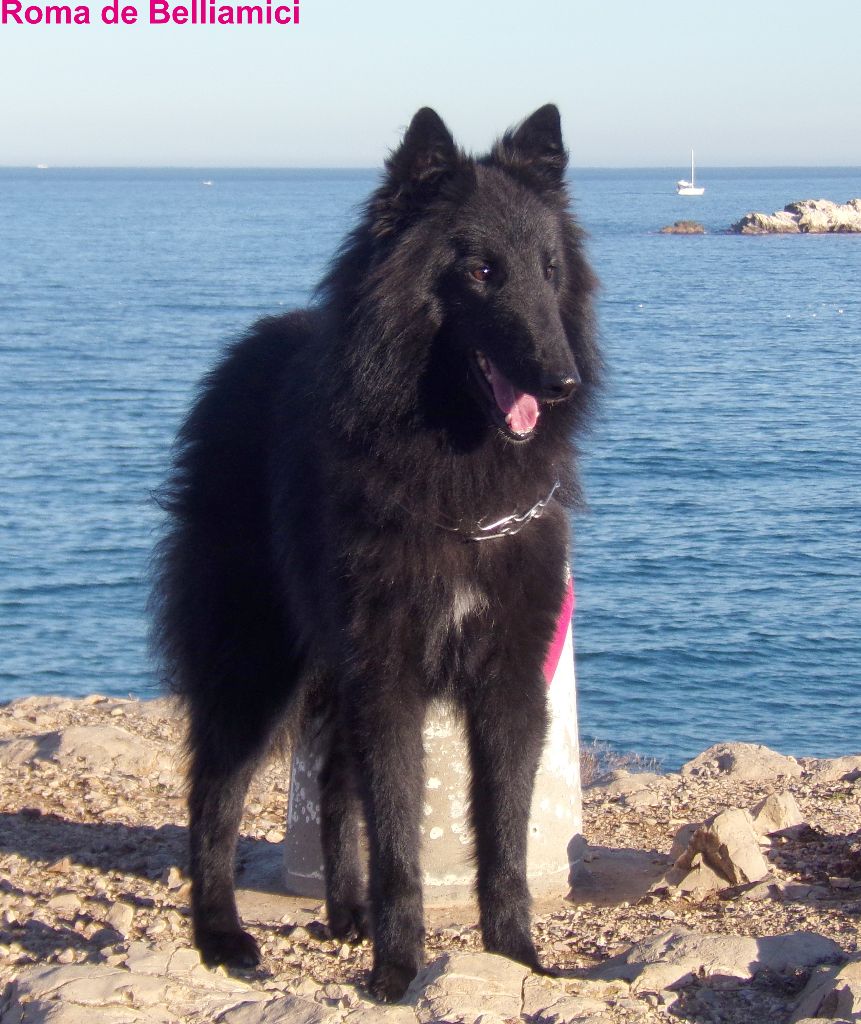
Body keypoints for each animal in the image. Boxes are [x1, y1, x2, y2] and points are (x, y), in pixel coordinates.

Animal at [151, 104, 600, 1003]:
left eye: (548, 268)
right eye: (481, 270)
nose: (563, 380)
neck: (457, 473)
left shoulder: (507, 678)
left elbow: (504, 836)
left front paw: (514, 957)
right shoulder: (387, 674)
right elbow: (398, 838)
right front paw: (398, 966)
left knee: (329, 782)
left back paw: (343, 910)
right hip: (254, 660)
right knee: (213, 793)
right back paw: (221, 935)